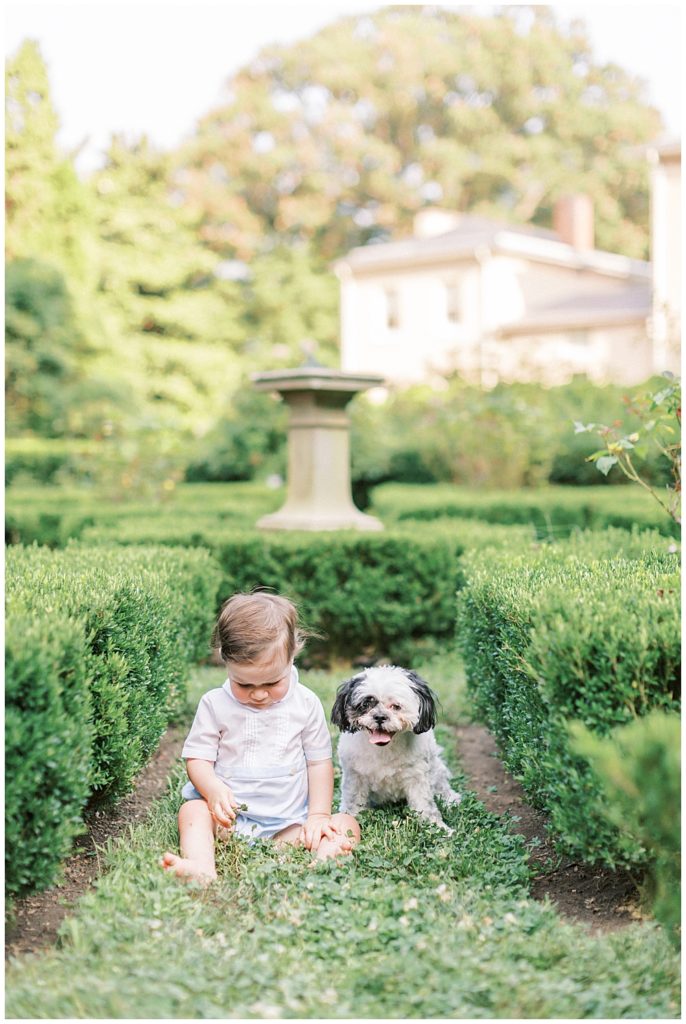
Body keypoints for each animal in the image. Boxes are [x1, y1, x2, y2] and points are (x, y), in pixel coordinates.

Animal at [331, 667, 462, 827]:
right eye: (365, 705)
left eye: (396, 706)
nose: (380, 717)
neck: (384, 749)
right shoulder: (354, 776)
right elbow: (353, 801)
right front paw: (350, 818)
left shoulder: (418, 777)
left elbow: (425, 805)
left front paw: (437, 826)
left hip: (435, 770)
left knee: (441, 786)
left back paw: (451, 800)